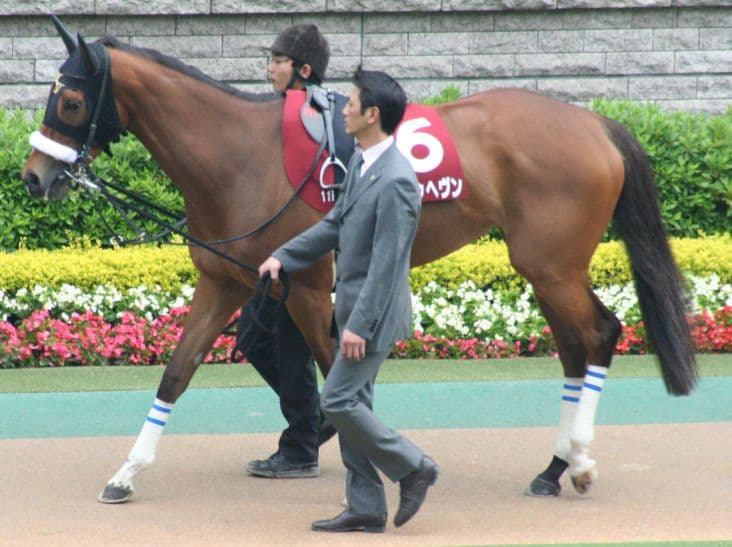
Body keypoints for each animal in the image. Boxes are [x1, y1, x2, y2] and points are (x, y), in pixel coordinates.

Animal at [22, 18, 696, 504]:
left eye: (72, 101)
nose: (33, 177)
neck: (238, 154)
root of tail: (596, 123)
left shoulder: (304, 287)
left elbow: (331, 375)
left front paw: (369, 462)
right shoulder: (225, 283)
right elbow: (176, 374)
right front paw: (126, 473)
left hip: (553, 265)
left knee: (599, 334)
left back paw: (577, 463)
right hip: (548, 268)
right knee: (576, 347)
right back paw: (554, 468)